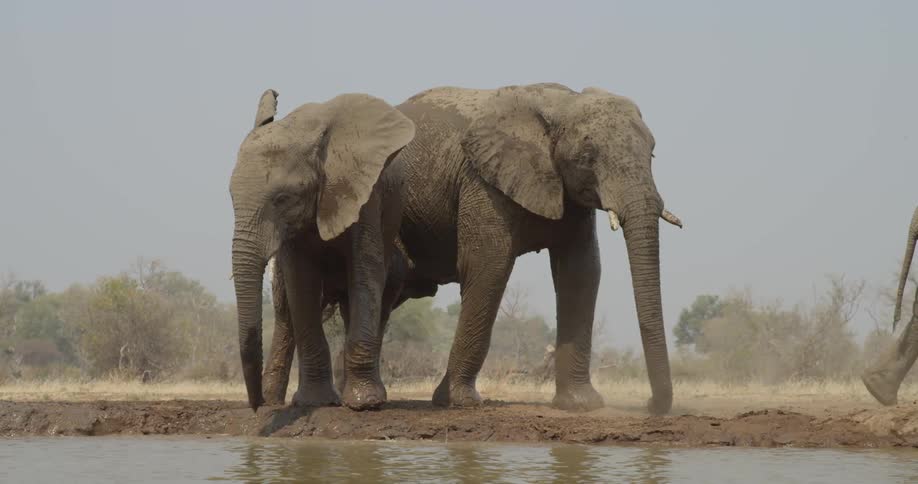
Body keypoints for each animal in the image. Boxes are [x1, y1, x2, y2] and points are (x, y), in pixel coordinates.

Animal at [229, 89, 415, 411]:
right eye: (230, 197)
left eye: (282, 198)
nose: (255, 405)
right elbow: (300, 282)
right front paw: (314, 402)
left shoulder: (365, 194)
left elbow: (365, 271)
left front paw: (365, 404)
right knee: (285, 312)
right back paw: (277, 401)